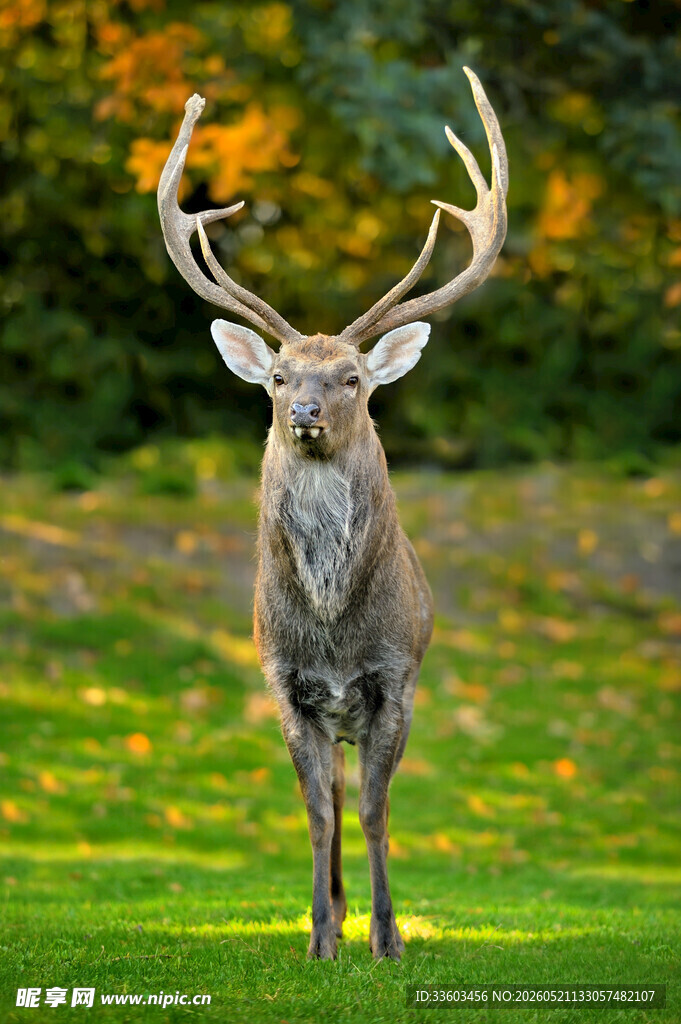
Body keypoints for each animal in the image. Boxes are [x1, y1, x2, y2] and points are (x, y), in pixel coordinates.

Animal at [158, 67, 507, 961]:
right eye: (279, 376)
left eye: (351, 377)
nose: (305, 412)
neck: (332, 627)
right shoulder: (284, 683)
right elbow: (318, 814)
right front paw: (320, 937)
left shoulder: (395, 677)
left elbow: (379, 811)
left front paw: (387, 939)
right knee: (338, 798)